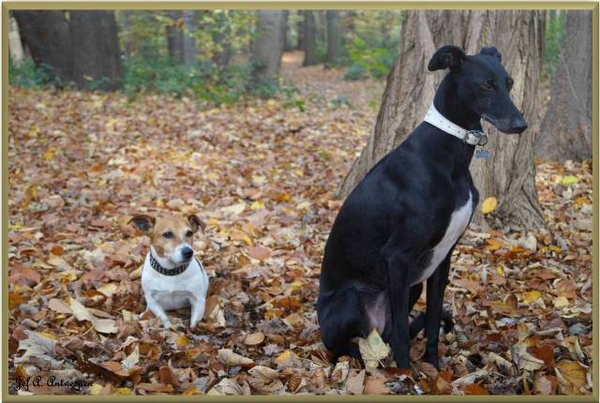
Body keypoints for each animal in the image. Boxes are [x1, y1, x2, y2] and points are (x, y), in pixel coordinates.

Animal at [316, 45, 528, 370]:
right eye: (485, 84)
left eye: (510, 83)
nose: (520, 125)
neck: (448, 158)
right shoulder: (399, 256)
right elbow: (405, 334)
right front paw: (406, 373)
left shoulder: (443, 258)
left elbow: (431, 320)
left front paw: (434, 368)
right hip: (352, 299)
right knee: (348, 347)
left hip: (411, 286)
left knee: (388, 336)